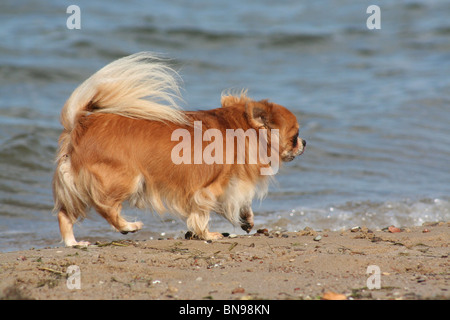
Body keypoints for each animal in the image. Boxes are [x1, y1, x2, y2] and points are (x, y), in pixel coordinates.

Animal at [52, 53, 306, 248]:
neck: (240, 130)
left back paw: (74, 243)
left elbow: (242, 204)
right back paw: (129, 226)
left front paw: (247, 220)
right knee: (105, 208)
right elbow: (201, 214)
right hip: (125, 179)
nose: (305, 143)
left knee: (65, 215)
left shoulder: (231, 186)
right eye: (295, 136)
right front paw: (208, 234)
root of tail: (79, 125)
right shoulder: (208, 189)